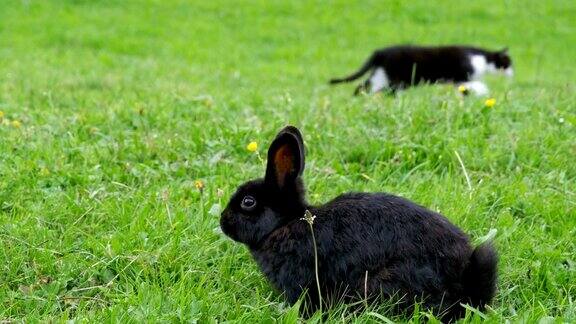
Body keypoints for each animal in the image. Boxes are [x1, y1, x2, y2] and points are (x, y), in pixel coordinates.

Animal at [328, 46, 512, 96]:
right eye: (508, 64)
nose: (512, 74)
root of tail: (381, 52)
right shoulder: (461, 76)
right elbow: (473, 84)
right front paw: (482, 91)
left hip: (381, 75)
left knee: (362, 86)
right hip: (393, 78)